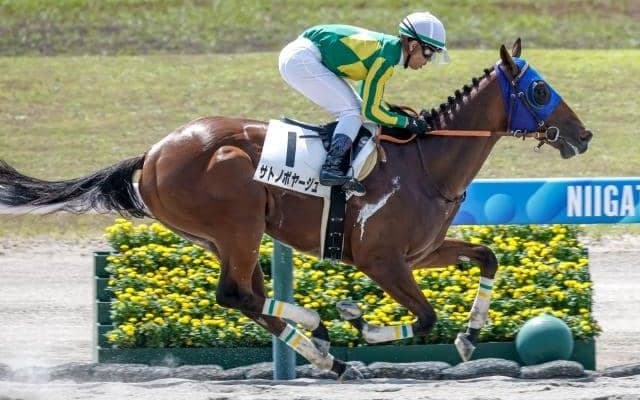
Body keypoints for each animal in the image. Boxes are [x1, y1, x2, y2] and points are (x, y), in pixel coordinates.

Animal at [0, 39, 592, 379]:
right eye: (541, 90)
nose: (583, 135)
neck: (428, 161)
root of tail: (152, 154)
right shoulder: (381, 260)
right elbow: (424, 317)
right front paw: (364, 323)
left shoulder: (421, 253)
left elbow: (488, 257)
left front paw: (470, 335)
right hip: (237, 223)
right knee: (236, 294)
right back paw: (325, 336)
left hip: (223, 237)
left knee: (247, 296)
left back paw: (325, 346)